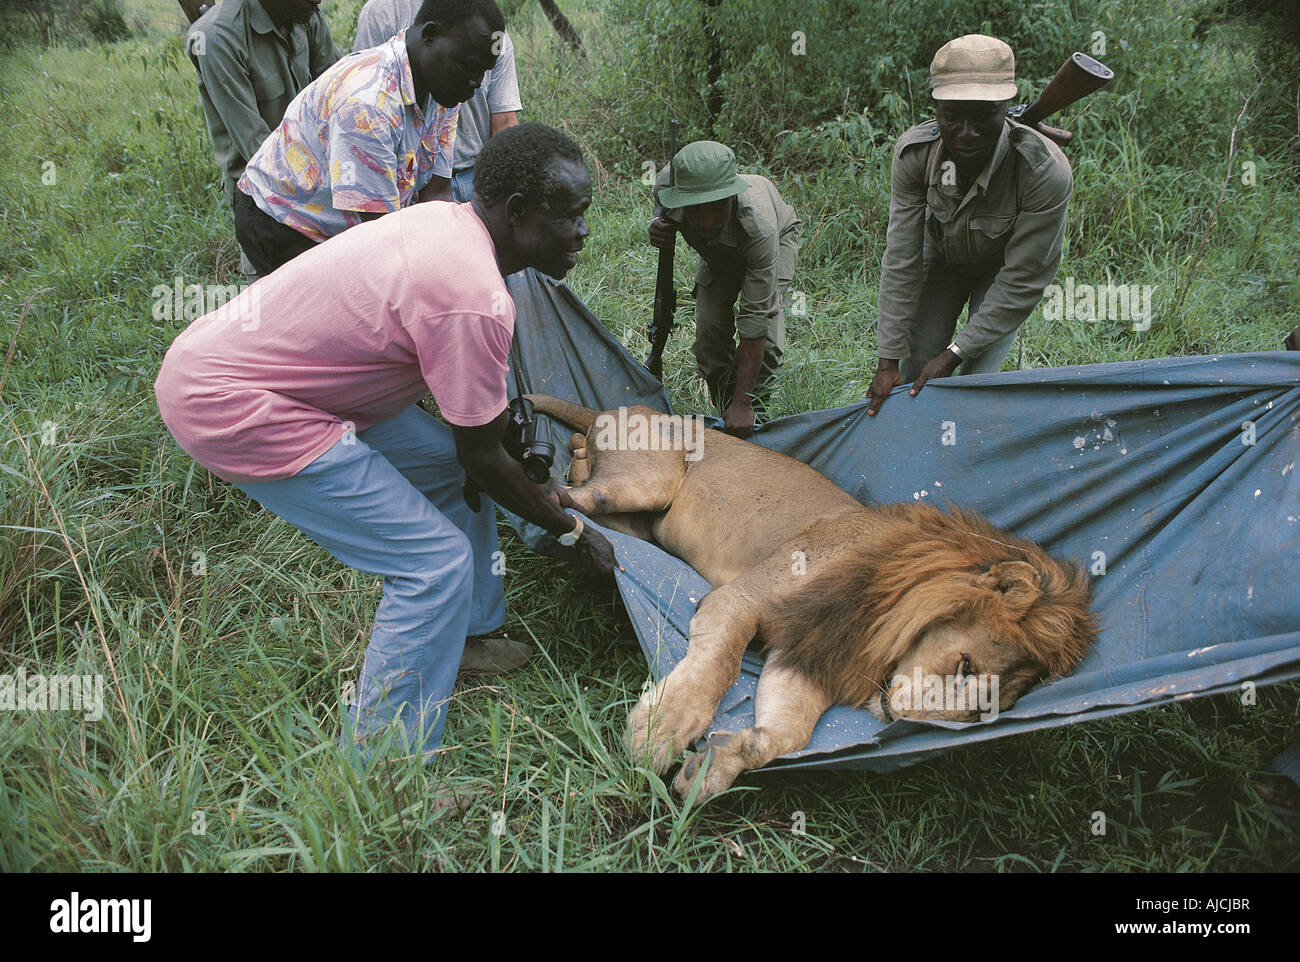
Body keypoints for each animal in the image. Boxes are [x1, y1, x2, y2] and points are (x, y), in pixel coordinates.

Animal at [527, 392, 1097, 806]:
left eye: (984, 714)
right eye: (964, 665)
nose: (906, 722)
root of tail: (619, 408)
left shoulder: (809, 655)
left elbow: (789, 733)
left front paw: (717, 764)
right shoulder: (742, 599)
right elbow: (719, 666)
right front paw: (662, 728)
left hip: (643, 516)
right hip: (652, 479)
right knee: (574, 497)